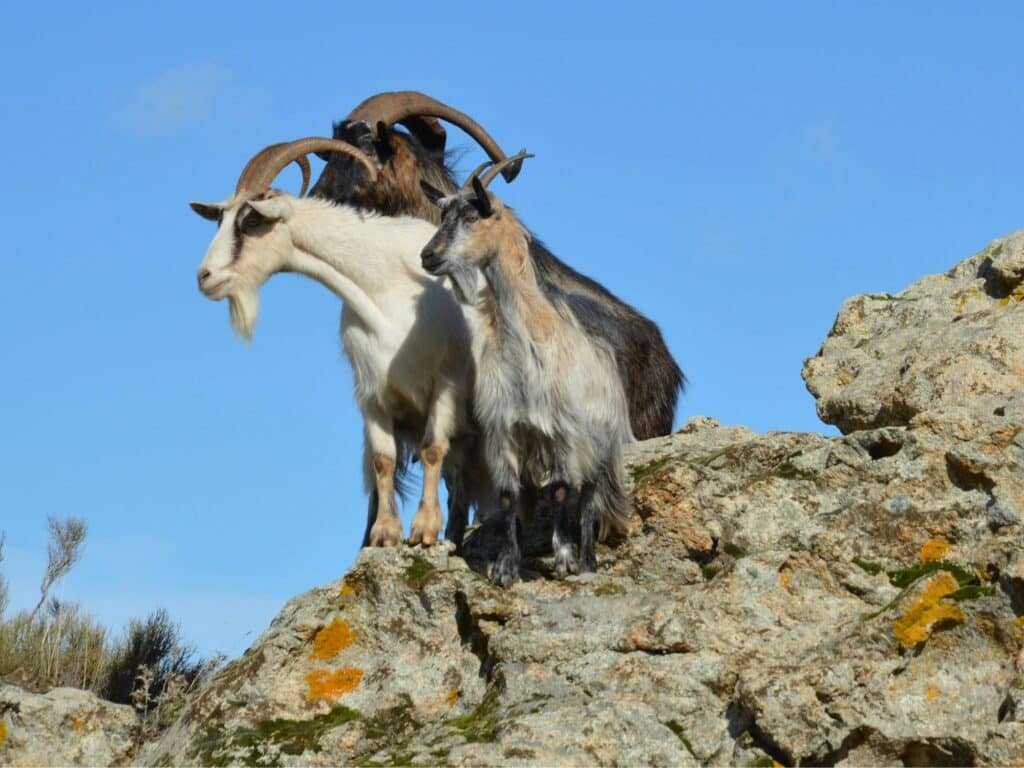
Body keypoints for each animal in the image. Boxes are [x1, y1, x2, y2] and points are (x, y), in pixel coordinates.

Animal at [189, 138, 491, 551]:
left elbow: (432, 449)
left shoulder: (446, 384)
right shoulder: (370, 393)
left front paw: (425, 530)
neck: (387, 289)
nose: (205, 276)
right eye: (221, 219)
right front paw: (384, 534)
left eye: (250, 221)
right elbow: (383, 459)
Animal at [419, 153, 633, 586]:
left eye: (474, 214)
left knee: (590, 495)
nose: (428, 255)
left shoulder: (566, 430)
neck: (527, 343)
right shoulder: (504, 429)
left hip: (601, 441)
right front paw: (505, 567)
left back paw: (588, 560)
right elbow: (508, 497)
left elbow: (563, 491)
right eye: (443, 212)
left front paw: (566, 559)